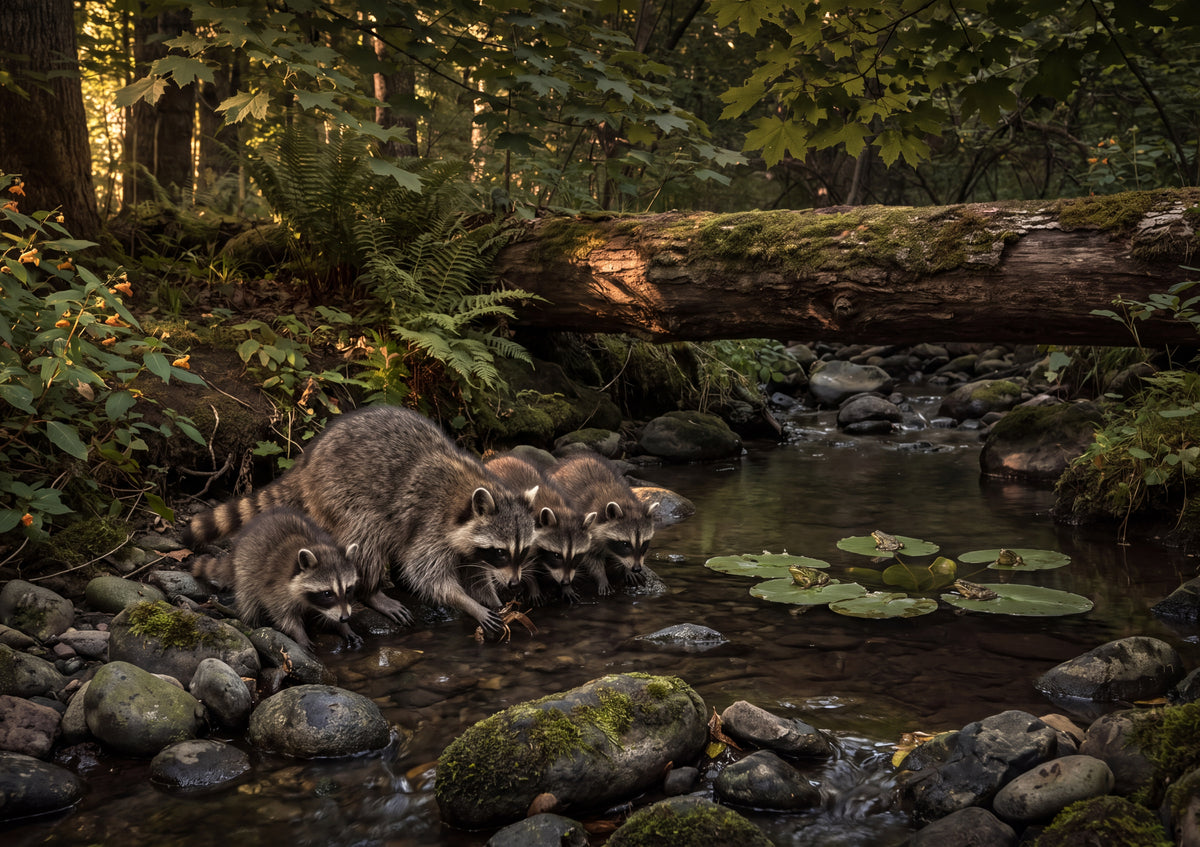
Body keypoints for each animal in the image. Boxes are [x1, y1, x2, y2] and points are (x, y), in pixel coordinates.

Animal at [184, 406, 537, 633]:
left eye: (524, 552)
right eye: (501, 551)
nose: (515, 583)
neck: (469, 489)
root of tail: (308, 460)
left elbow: (473, 568)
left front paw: (489, 594)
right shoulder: (431, 523)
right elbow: (426, 574)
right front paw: (465, 601)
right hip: (340, 492)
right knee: (367, 536)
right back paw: (372, 592)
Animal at [191, 507, 361, 651]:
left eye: (348, 589)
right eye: (327, 593)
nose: (345, 618)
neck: (316, 547)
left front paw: (343, 627)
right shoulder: (276, 586)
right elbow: (282, 613)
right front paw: (299, 634)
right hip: (246, 566)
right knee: (248, 597)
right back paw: (251, 620)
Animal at [485, 454, 596, 603]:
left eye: (577, 556)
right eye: (557, 555)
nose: (566, 582)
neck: (556, 507)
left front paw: (566, 588)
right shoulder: (523, 537)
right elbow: (525, 565)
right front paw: (534, 586)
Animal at [547, 454, 658, 595]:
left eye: (644, 543)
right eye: (625, 544)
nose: (637, 568)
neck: (622, 501)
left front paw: (626, 568)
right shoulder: (587, 528)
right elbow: (591, 558)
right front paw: (601, 577)